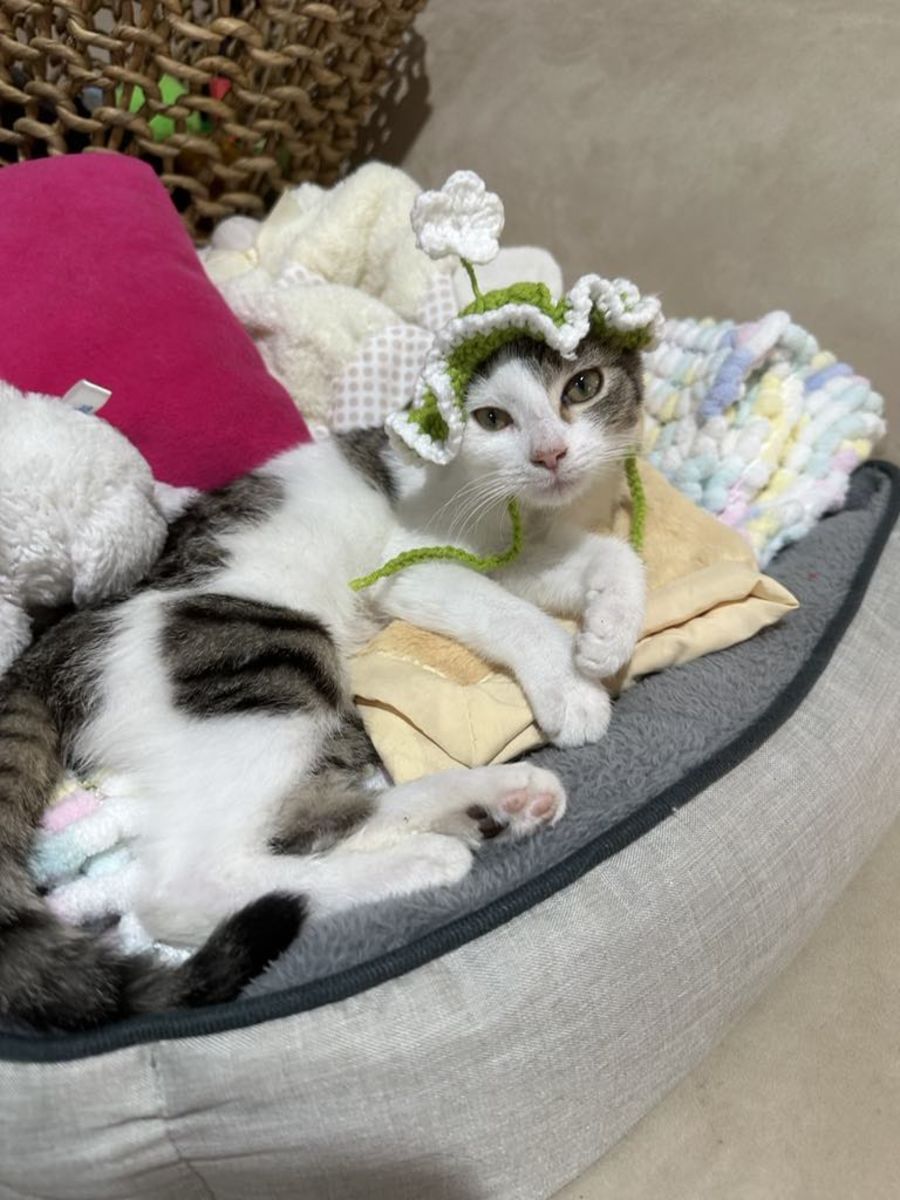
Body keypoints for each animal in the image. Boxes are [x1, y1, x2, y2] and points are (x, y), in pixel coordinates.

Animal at [0, 331, 646, 1031]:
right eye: (491, 418)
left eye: (582, 386)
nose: (549, 453)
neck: (524, 510)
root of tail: (50, 645)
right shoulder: (412, 565)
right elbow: (507, 610)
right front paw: (570, 685)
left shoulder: (526, 554)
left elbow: (612, 555)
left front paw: (609, 630)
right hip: (270, 650)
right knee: (188, 885)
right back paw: (425, 858)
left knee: (305, 819)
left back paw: (489, 803)